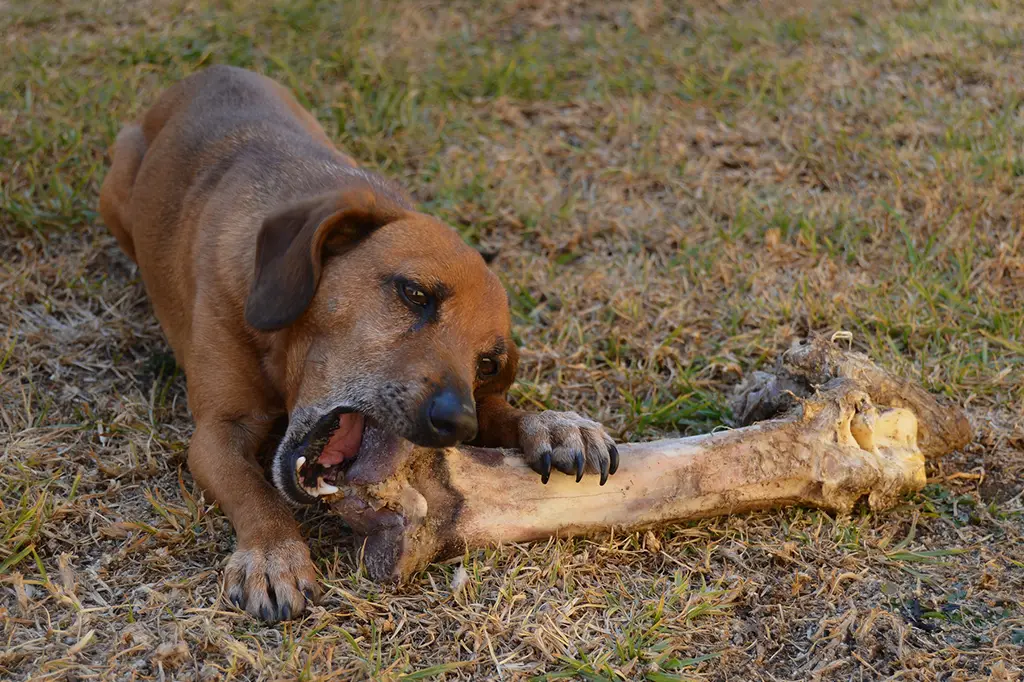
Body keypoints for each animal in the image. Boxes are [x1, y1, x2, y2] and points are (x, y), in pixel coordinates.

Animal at [99, 65, 618, 622]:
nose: (459, 424)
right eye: (415, 294)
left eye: (486, 364)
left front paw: (554, 424)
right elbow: (255, 491)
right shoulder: (216, 433)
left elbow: (504, 412)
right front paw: (273, 554)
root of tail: (210, 72)